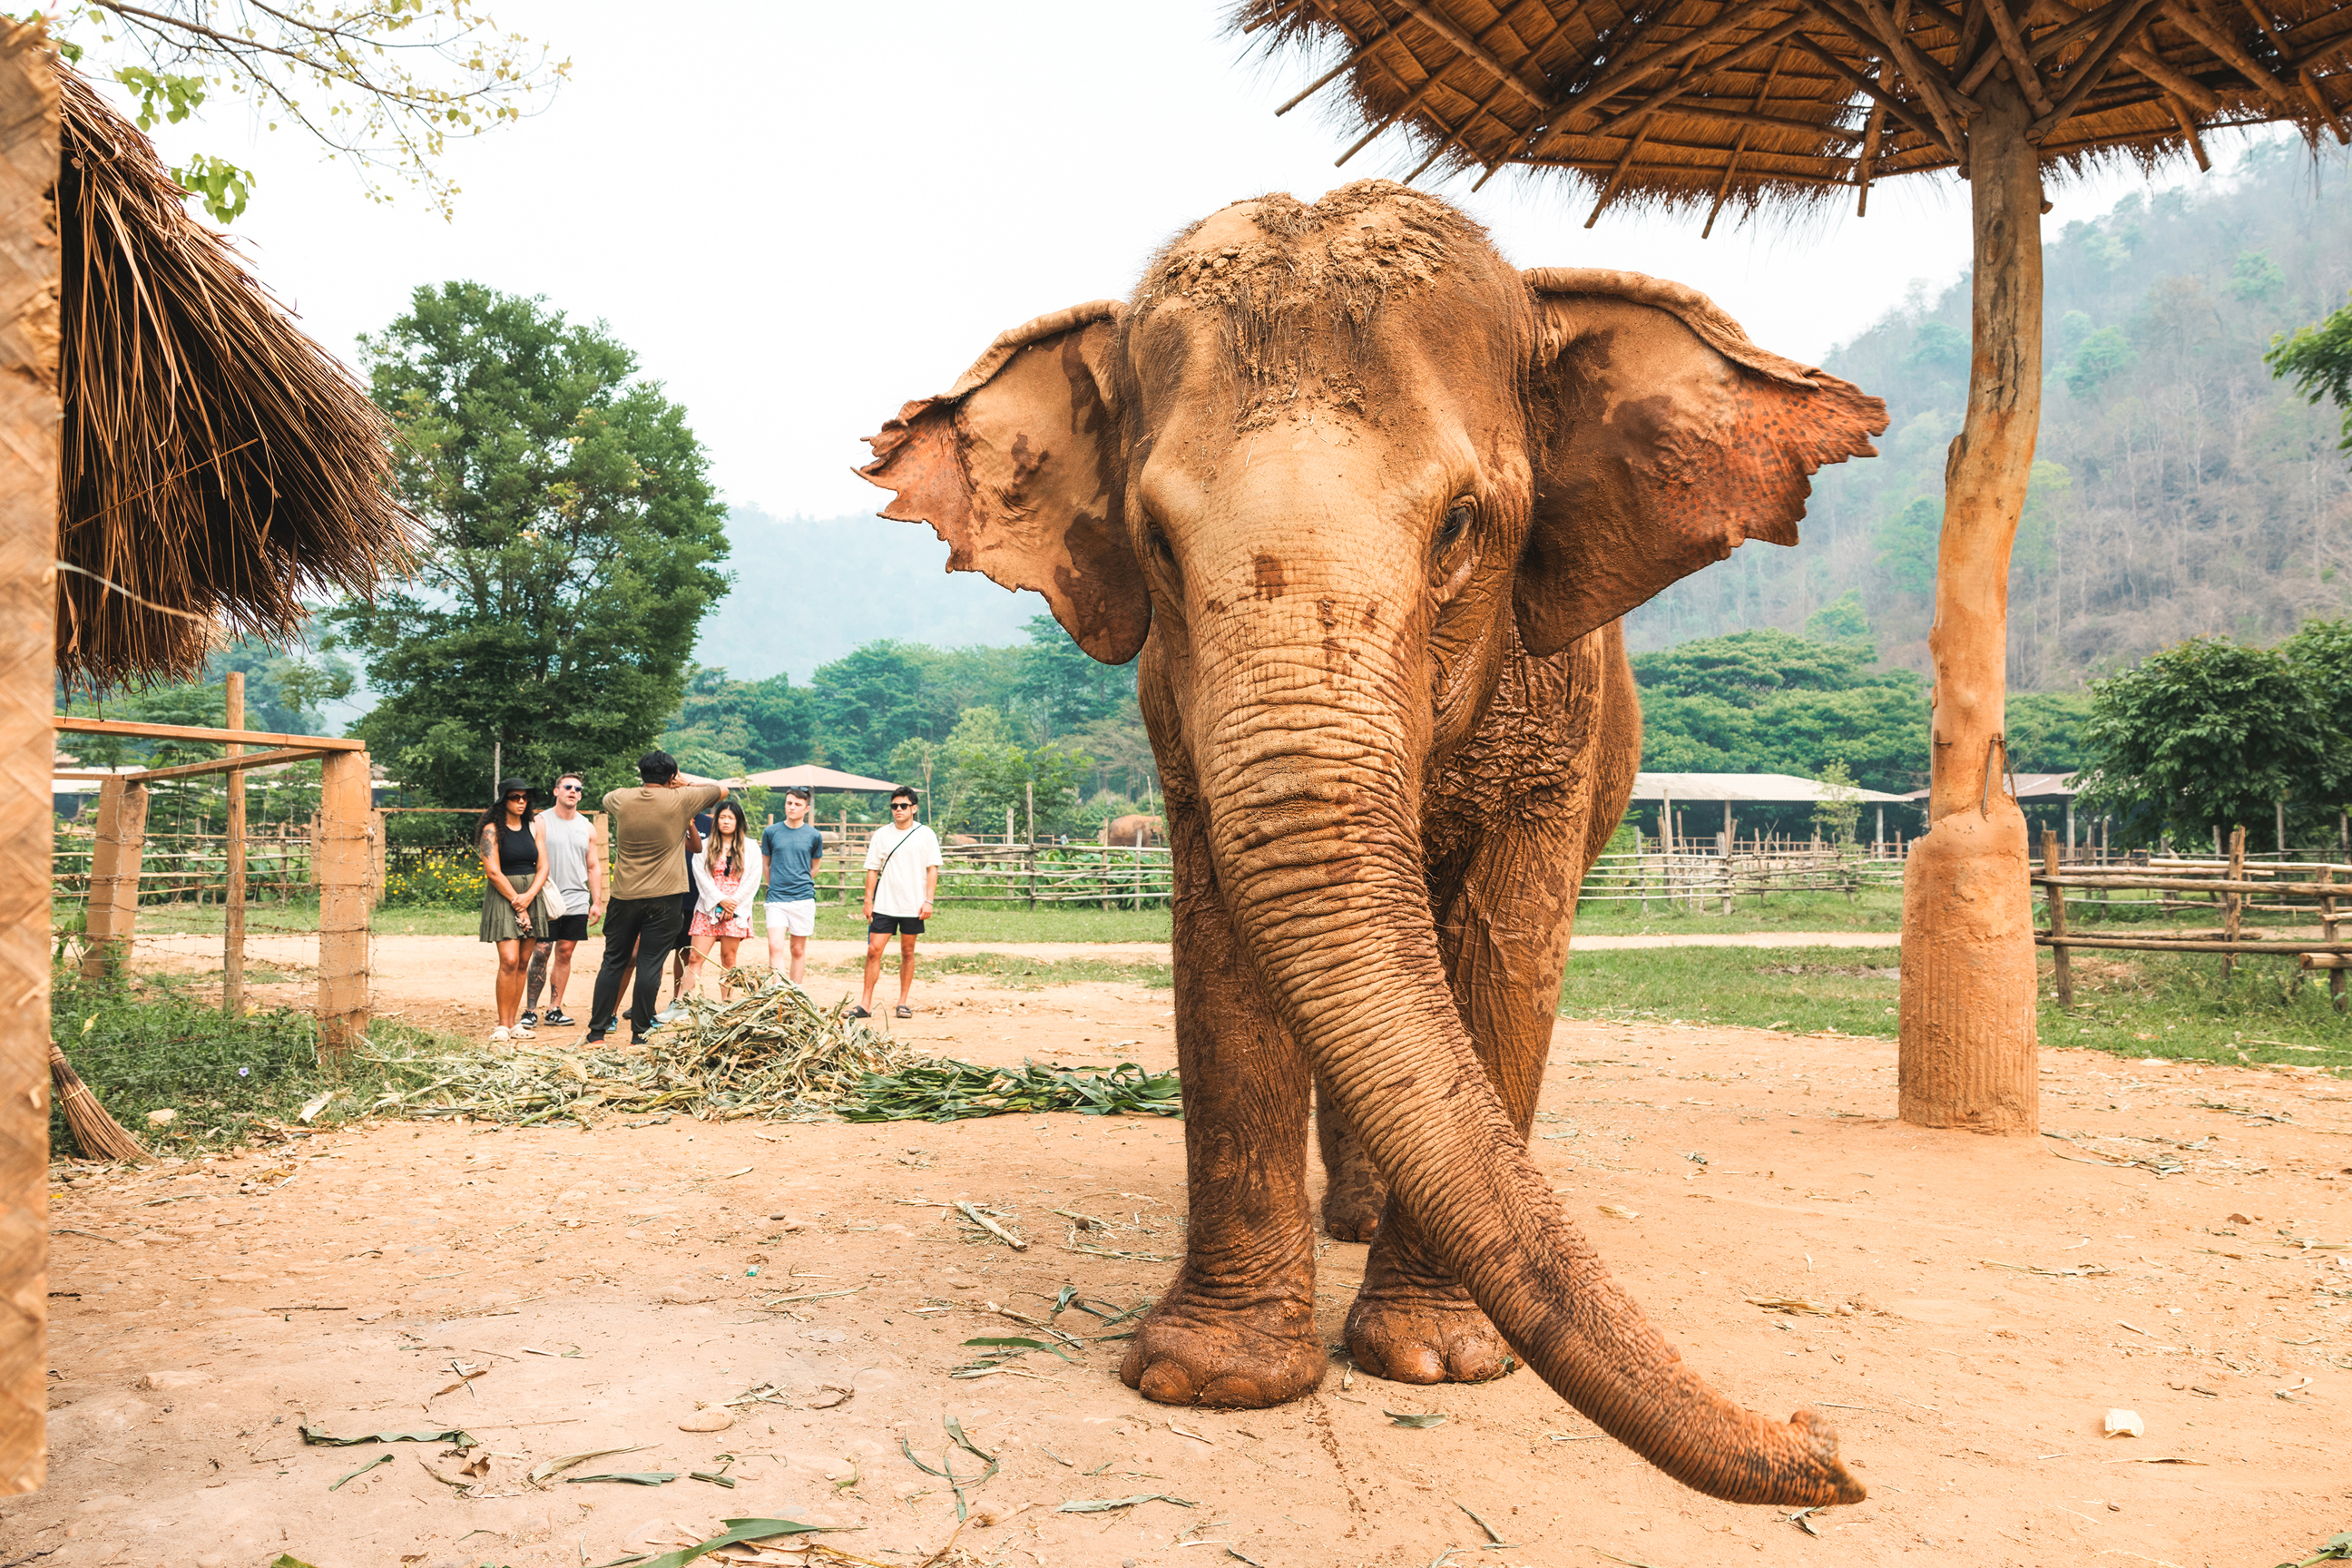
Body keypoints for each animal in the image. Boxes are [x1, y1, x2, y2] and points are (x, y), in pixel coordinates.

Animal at [858, 181, 1885, 1507]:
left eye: (1460, 526)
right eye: (1156, 542)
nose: (1826, 1439)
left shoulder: (1558, 714)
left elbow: (1507, 954)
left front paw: (1439, 1363)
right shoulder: (1176, 717)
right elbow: (1220, 948)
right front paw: (1219, 1381)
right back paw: (1344, 1221)